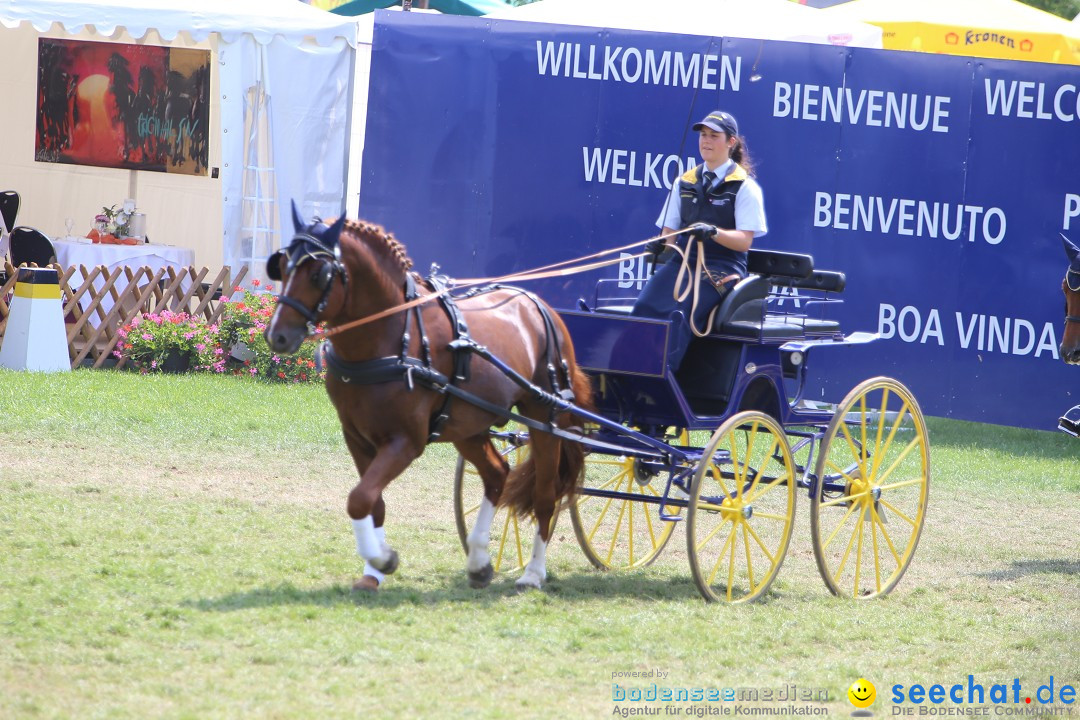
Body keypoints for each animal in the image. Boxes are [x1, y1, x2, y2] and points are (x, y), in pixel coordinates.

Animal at [267, 207, 591, 591]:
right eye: (281, 266)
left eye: (319, 274)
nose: (277, 336)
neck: (392, 337)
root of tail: (540, 306)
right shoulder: (356, 437)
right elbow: (372, 502)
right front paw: (373, 573)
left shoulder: (406, 441)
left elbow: (359, 499)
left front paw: (383, 559)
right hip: (469, 426)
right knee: (497, 474)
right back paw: (479, 561)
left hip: (543, 419)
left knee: (545, 495)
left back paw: (533, 573)